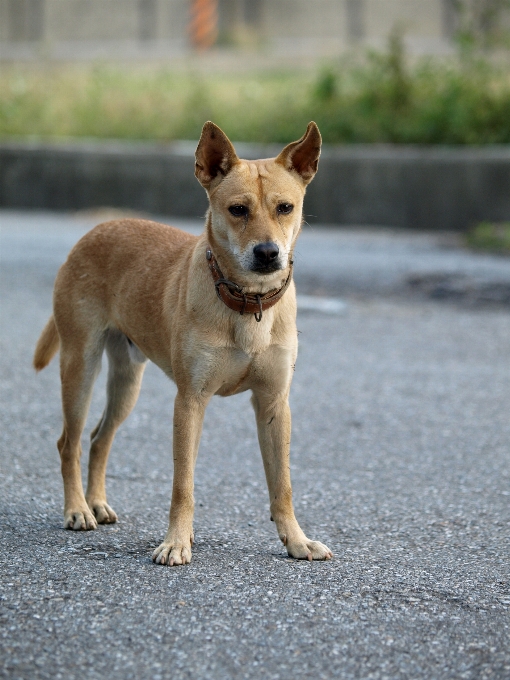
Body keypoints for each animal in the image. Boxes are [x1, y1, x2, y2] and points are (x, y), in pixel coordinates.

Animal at [33, 121, 332, 564]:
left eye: (285, 207)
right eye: (237, 210)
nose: (268, 253)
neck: (248, 302)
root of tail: (96, 229)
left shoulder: (274, 404)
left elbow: (283, 485)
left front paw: (297, 540)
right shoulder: (190, 401)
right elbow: (183, 484)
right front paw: (177, 541)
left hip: (127, 383)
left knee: (99, 438)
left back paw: (97, 502)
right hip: (79, 368)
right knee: (68, 442)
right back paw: (77, 509)